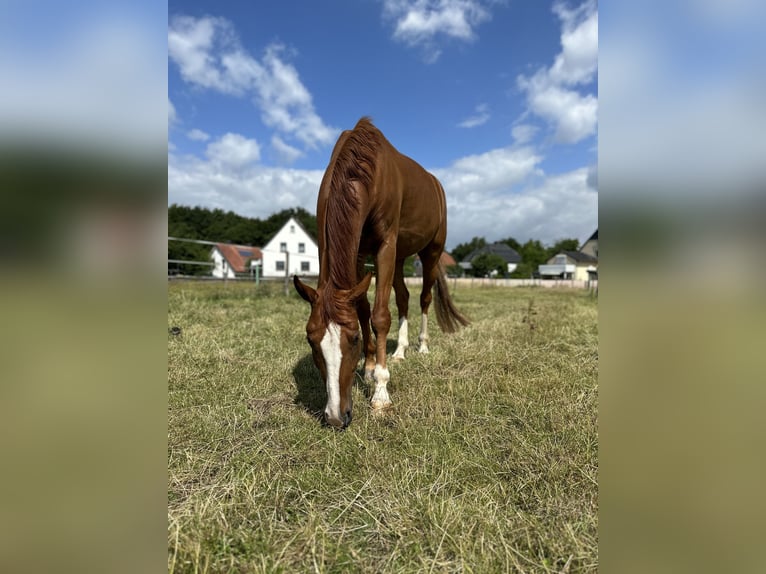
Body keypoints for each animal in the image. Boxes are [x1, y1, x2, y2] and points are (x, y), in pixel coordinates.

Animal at [294, 119, 468, 430]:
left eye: (352, 340)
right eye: (311, 340)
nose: (336, 417)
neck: (366, 173)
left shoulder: (385, 246)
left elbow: (379, 316)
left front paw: (380, 393)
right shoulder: (360, 252)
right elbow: (363, 308)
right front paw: (370, 366)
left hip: (430, 252)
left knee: (423, 298)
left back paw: (422, 347)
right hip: (400, 256)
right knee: (403, 297)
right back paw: (400, 351)